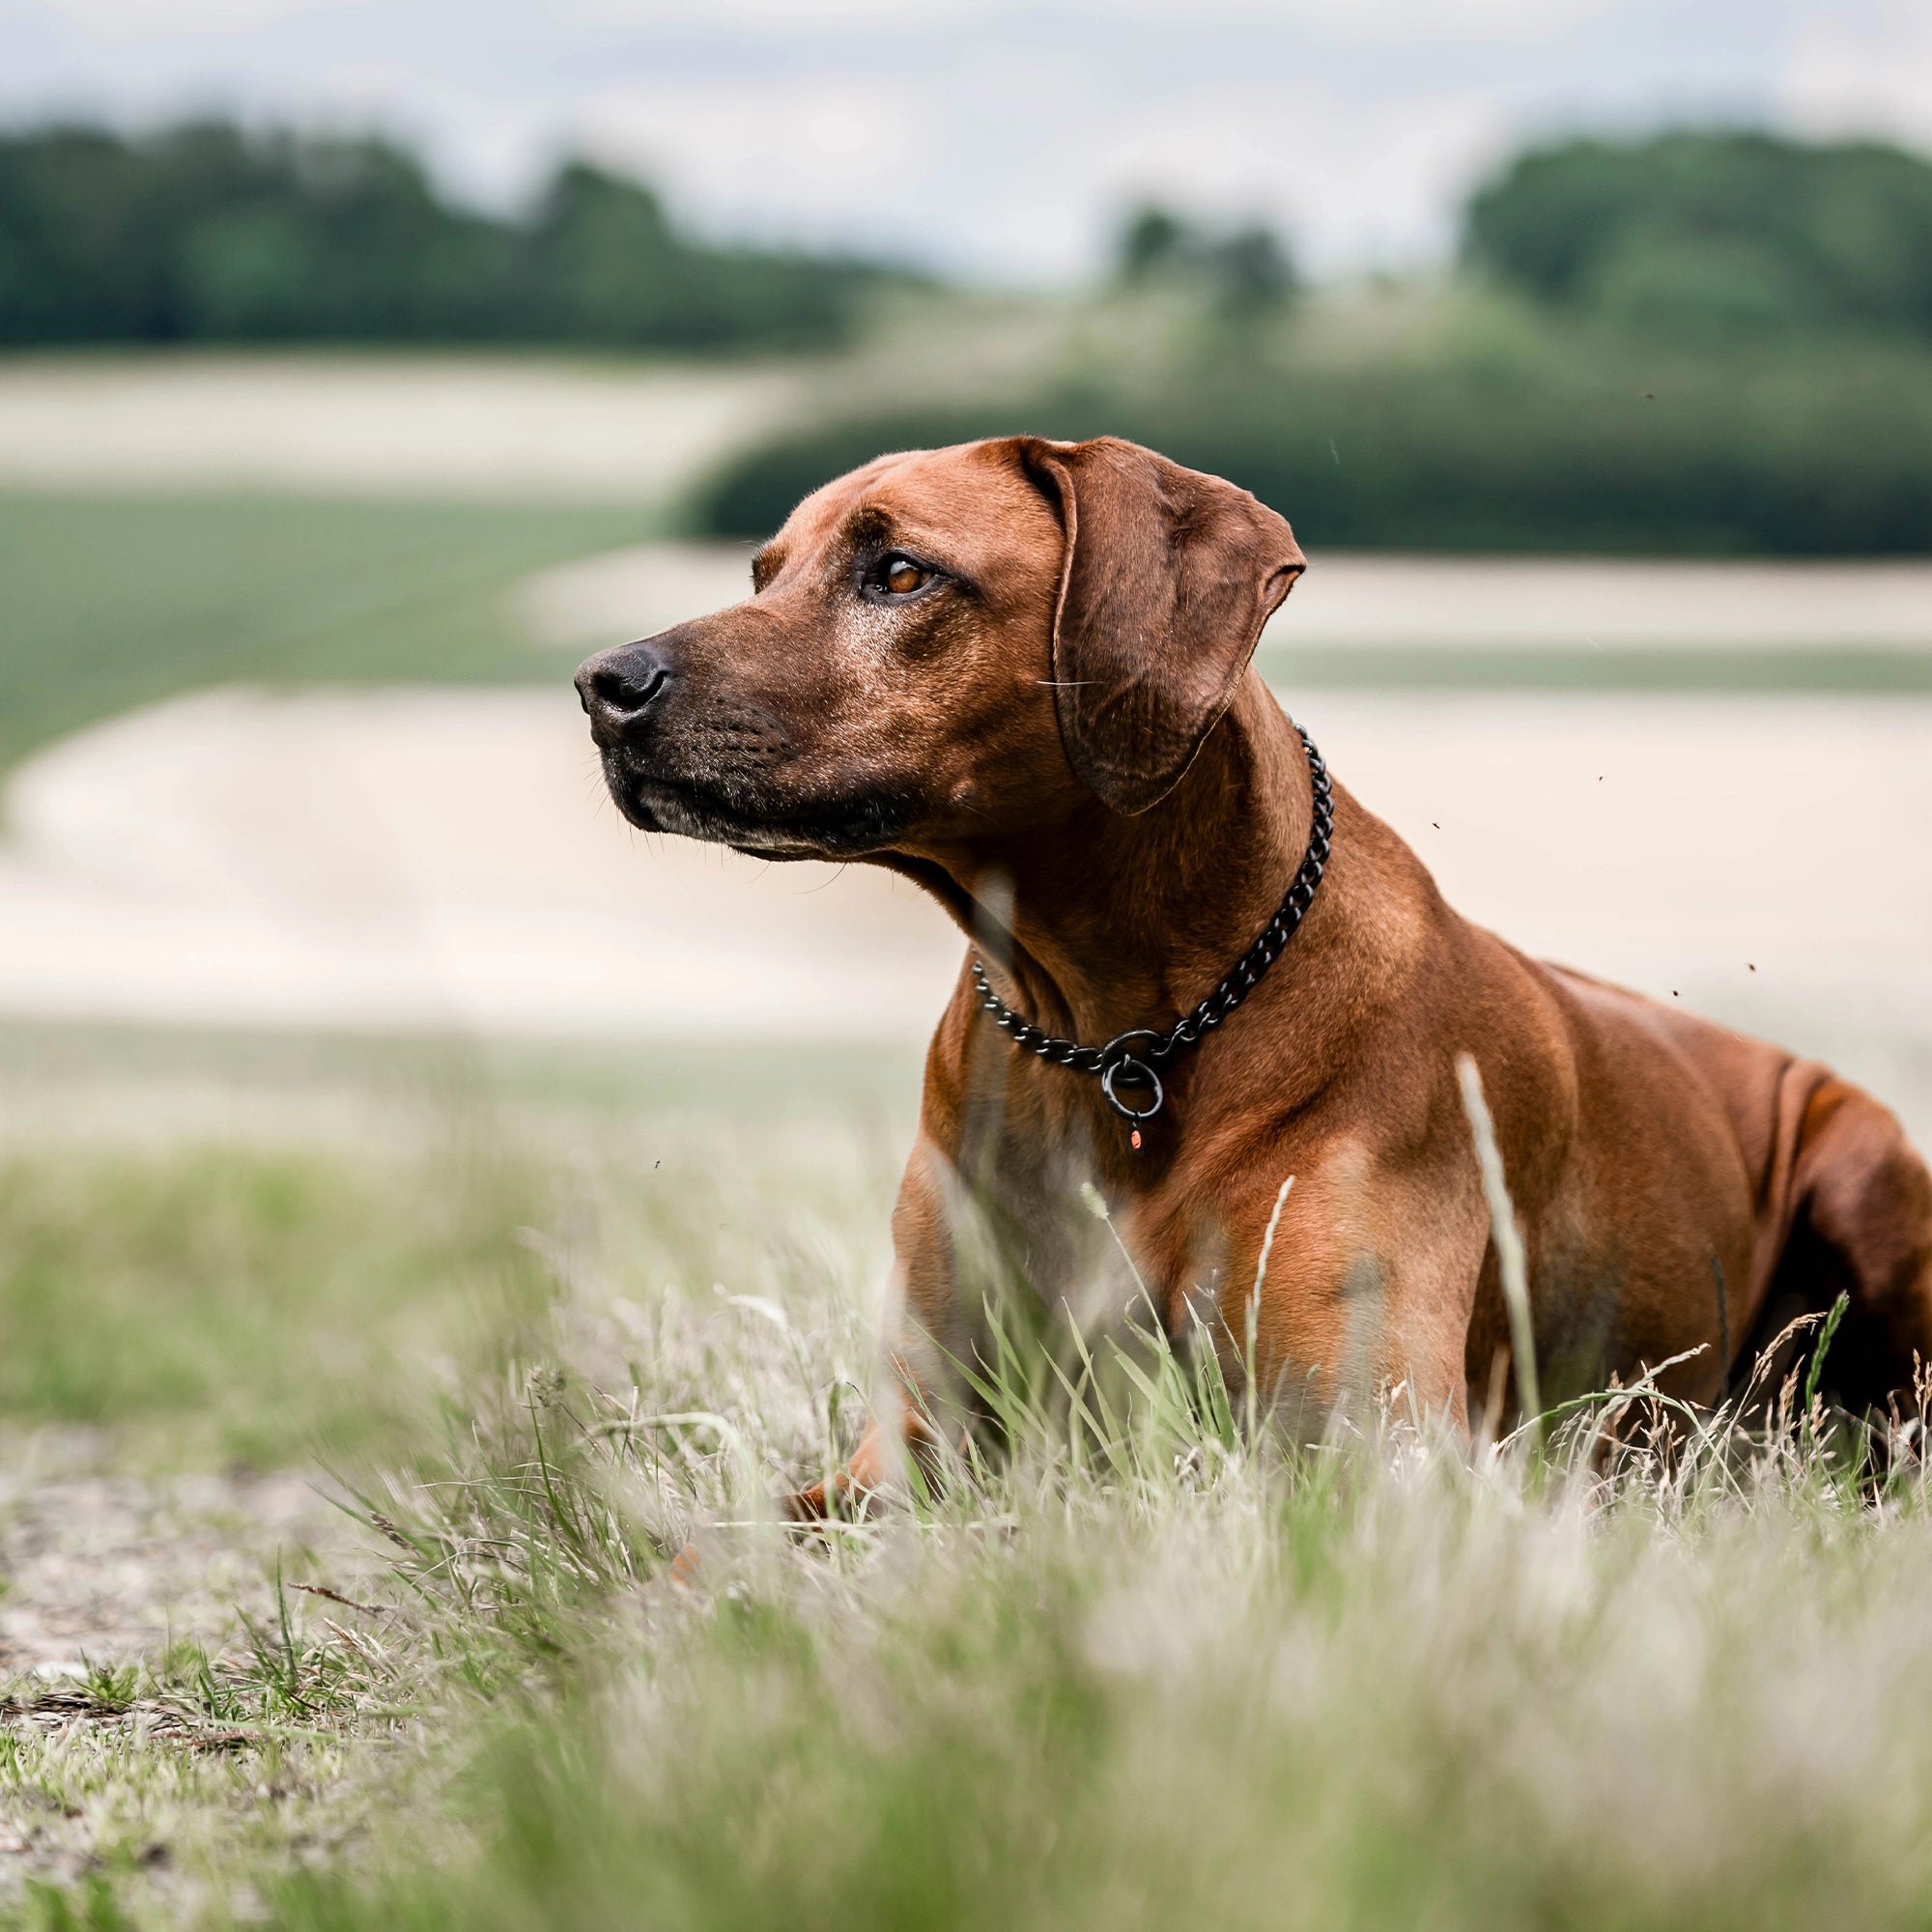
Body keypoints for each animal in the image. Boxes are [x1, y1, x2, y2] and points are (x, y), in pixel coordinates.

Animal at [572, 439, 1932, 1507]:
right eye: (763, 572)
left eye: (897, 572)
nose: (602, 685)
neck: (1118, 1037)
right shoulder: (908, 1447)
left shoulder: (1369, 1448)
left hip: (1868, 1178)